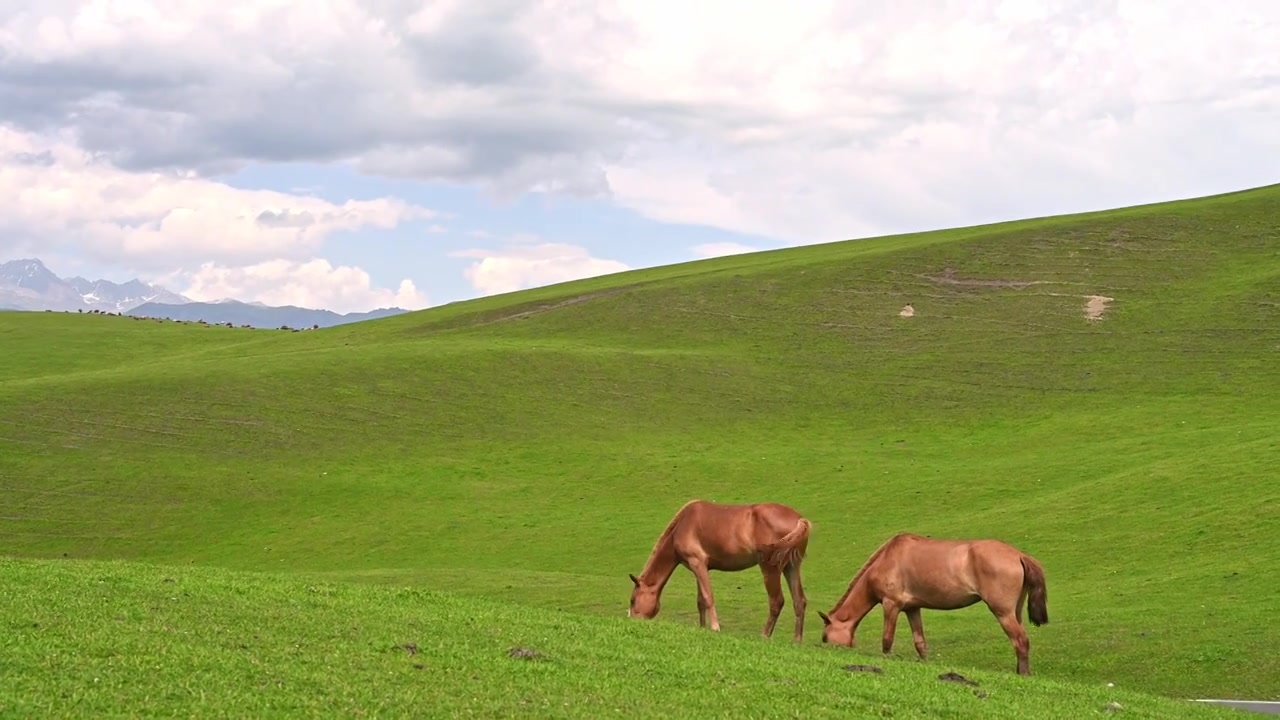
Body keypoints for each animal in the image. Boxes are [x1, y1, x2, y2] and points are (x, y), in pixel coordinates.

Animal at [624, 499, 814, 638]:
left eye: (633, 600)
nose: (632, 620)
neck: (683, 524)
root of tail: (799, 520)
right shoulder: (699, 568)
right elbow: (700, 600)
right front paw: (702, 628)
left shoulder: (698, 563)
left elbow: (708, 597)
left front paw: (715, 628)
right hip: (791, 567)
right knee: (799, 601)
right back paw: (796, 641)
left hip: (770, 569)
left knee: (776, 601)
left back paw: (764, 636)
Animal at [819, 527, 1049, 671]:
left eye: (825, 637)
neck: (886, 560)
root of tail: (1019, 555)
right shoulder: (912, 609)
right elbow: (920, 643)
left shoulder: (891, 605)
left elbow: (887, 640)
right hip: (1015, 611)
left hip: (1003, 612)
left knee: (1020, 641)